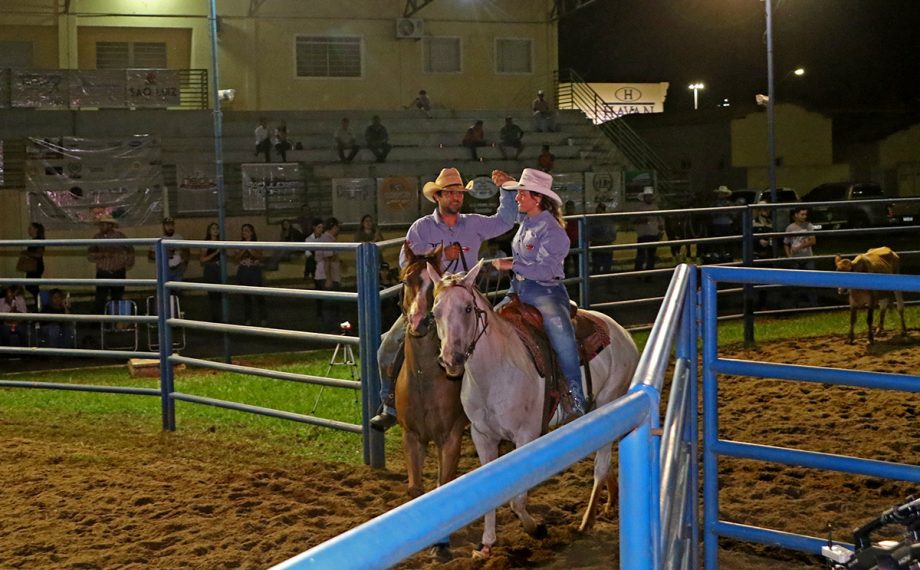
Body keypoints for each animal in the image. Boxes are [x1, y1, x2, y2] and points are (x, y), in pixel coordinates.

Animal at [422, 260, 640, 556]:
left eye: (467, 309)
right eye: (435, 312)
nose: (451, 359)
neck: (493, 371)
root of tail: (622, 333)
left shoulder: (525, 437)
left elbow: (517, 498)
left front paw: (536, 529)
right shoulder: (483, 436)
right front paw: (486, 544)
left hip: (609, 402)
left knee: (601, 464)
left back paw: (586, 521)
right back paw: (608, 503)